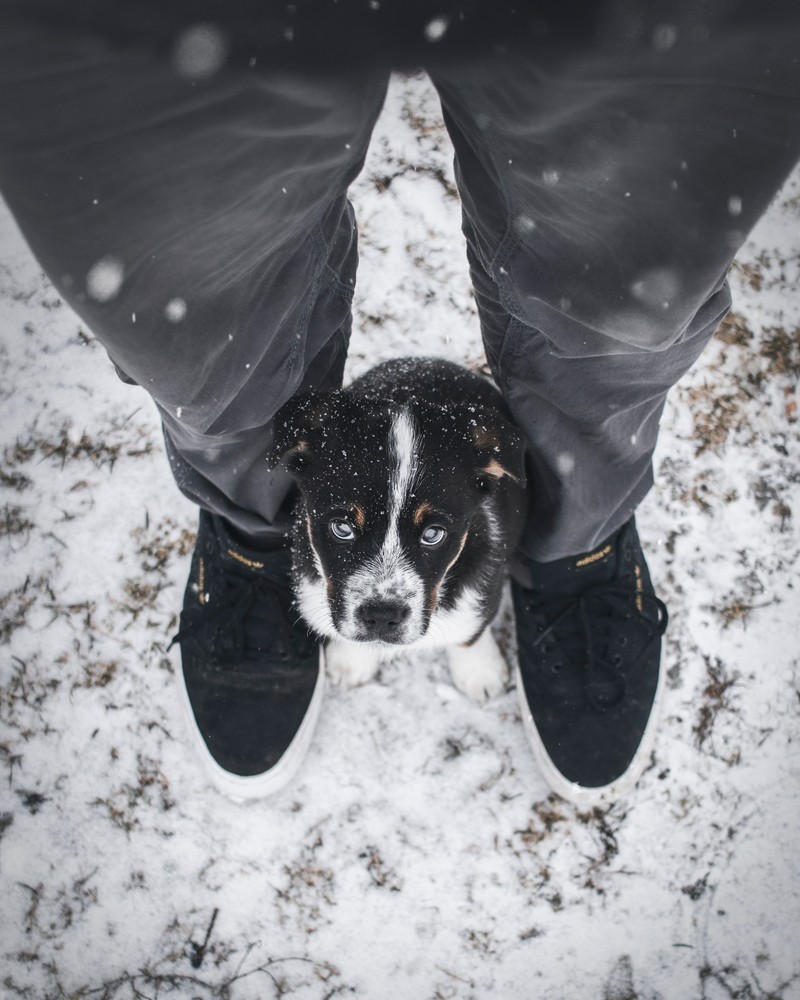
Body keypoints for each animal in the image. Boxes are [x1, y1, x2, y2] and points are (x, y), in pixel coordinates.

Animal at [272, 360, 528, 704]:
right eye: (342, 528)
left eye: (433, 534)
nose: (382, 616)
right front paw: (351, 661)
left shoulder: (487, 574)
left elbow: (472, 629)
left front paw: (480, 672)